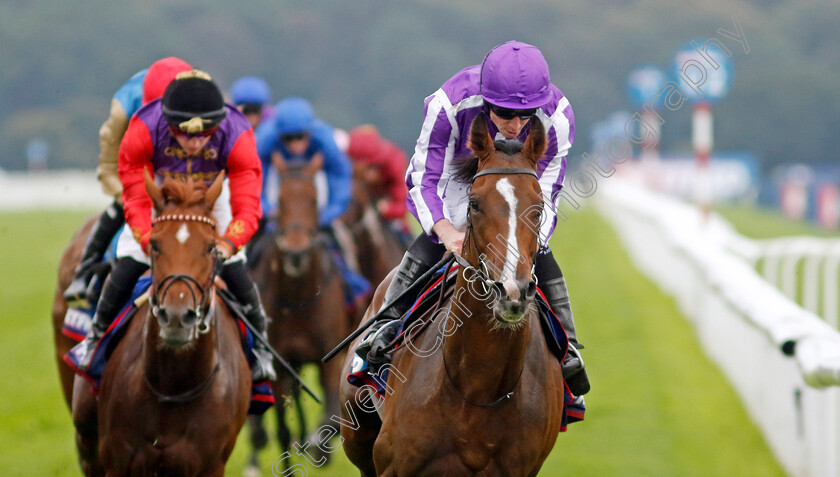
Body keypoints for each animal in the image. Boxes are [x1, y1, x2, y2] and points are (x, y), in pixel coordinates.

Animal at [69, 172, 249, 476]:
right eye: (154, 245)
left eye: (210, 248)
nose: (176, 316)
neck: (172, 388)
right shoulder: (117, 460)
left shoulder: (210, 464)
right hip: (86, 438)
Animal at [246, 156, 348, 472]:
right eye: (280, 200)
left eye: (314, 200)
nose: (295, 253)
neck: (298, 299)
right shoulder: (280, 362)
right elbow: (282, 427)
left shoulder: (331, 356)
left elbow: (331, 418)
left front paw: (318, 446)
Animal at [336, 113, 564, 474]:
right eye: (474, 203)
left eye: (538, 207)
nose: (512, 289)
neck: (478, 386)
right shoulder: (391, 464)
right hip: (356, 436)